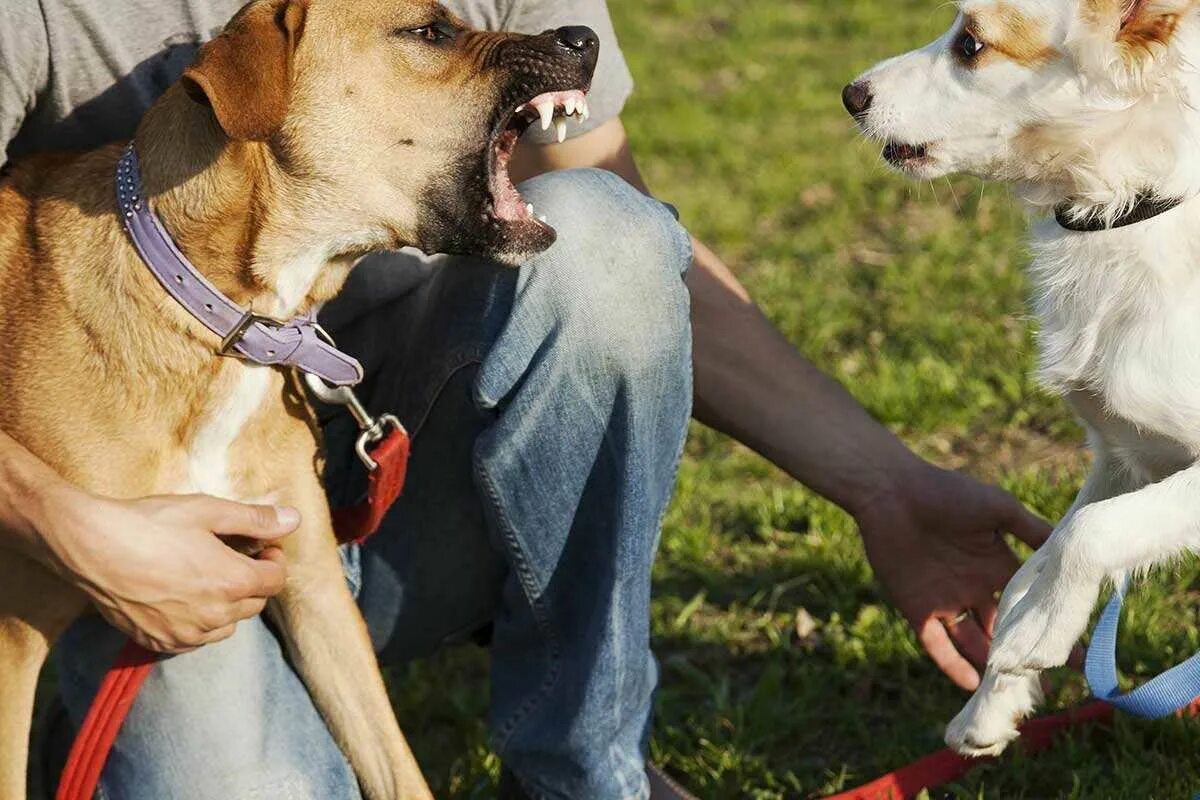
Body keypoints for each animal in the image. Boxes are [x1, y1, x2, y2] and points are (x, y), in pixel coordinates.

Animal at [0, 3, 600, 796]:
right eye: (429, 31)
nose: (585, 38)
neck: (224, 316)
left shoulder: (314, 585)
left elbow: (393, 762)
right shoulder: (12, 640)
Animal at [849, 0, 1200, 758]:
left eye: (971, 45)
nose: (850, 95)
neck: (1127, 210)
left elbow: (1090, 533)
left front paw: (1038, 634)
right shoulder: (1124, 454)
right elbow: (1034, 562)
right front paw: (993, 697)